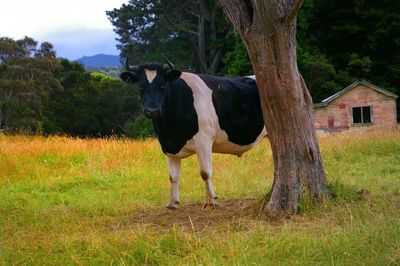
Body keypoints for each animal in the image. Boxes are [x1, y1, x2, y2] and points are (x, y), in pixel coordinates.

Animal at [120, 61, 268, 209]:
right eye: (141, 87)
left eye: (162, 86)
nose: (152, 110)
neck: (170, 130)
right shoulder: (168, 145)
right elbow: (172, 176)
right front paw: (172, 203)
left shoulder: (204, 140)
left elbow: (205, 172)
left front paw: (211, 201)